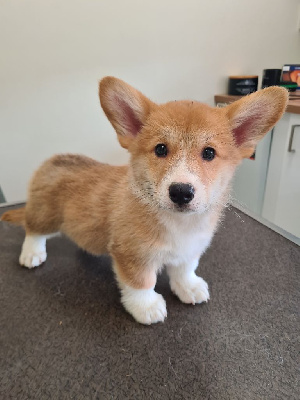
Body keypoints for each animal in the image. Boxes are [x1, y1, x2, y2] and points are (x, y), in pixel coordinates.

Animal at [0, 79, 288, 324]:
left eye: (209, 153)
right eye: (160, 149)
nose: (181, 192)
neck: (179, 223)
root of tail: (53, 160)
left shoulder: (190, 249)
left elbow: (185, 269)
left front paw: (189, 287)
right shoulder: (133, 255)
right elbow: (141, 283)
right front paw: (147, 307)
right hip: (45, 215)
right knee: (33, 230)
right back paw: (32, 253)